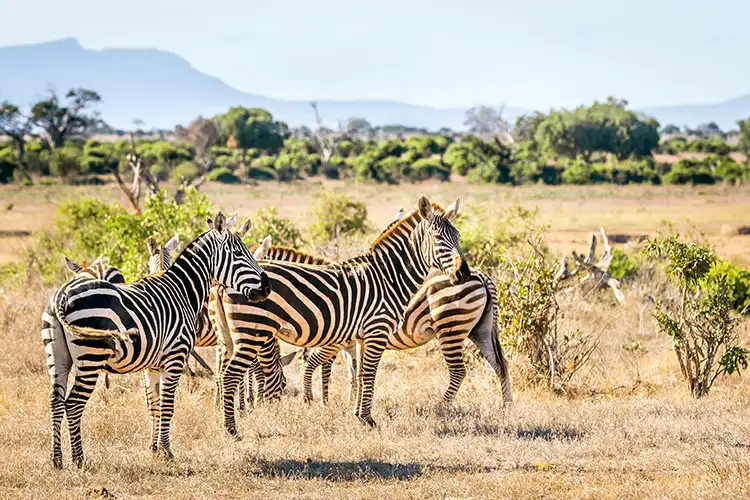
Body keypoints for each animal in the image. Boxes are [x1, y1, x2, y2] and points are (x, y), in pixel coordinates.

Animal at [43, 212, 270, 468]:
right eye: (239, 253)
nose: (267, 287)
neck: (183, 292)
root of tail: (62, 295)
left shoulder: (152, 365)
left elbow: (155, 406)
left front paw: (154, 449)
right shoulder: (175, 357)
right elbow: (167, 406)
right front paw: (166, 451)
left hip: (57, 357)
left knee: (55, 402)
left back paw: (57, 460)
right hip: (90, 356)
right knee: (73, 404)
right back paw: (79, 460)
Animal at [213, 193, 470, 436]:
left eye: (457, 237)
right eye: (438, 238)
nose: (464, 273)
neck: (388, 278)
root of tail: (225, 283)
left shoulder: (361, 336)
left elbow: (360, 374)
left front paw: (358, 414)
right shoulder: (377, 330)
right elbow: (369, 374)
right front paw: (368, 419)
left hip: (232, 336)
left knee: (223, 373)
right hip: (253, 332)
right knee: (230, 375)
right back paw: (231, 430)